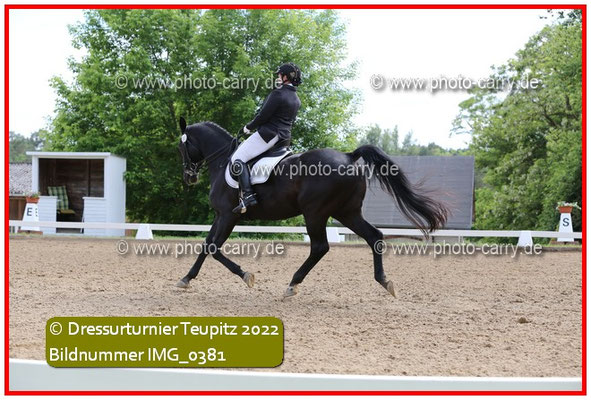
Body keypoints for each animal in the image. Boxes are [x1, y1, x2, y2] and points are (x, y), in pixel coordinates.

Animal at [176, 118, 448, 298]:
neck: (223, 161)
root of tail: (349, 156)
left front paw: (246, 276)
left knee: (320, 247)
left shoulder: (228, 216)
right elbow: (206, 245)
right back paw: (384, 281)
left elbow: (214, 247)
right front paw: (186, 278)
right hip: (346, 212)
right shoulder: (220, 215)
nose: (189, 177)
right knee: (374, 236)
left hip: (315, 212)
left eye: (181, 147)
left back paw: (292, 284)